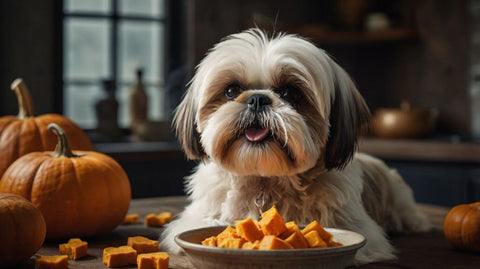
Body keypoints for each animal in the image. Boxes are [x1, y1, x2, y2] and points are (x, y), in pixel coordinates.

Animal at [162, 28, 432, 262]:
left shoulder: (360, 229)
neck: (265, 180)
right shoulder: (196, 217)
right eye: (231, 90)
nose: (257, 99)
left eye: (291, 93)